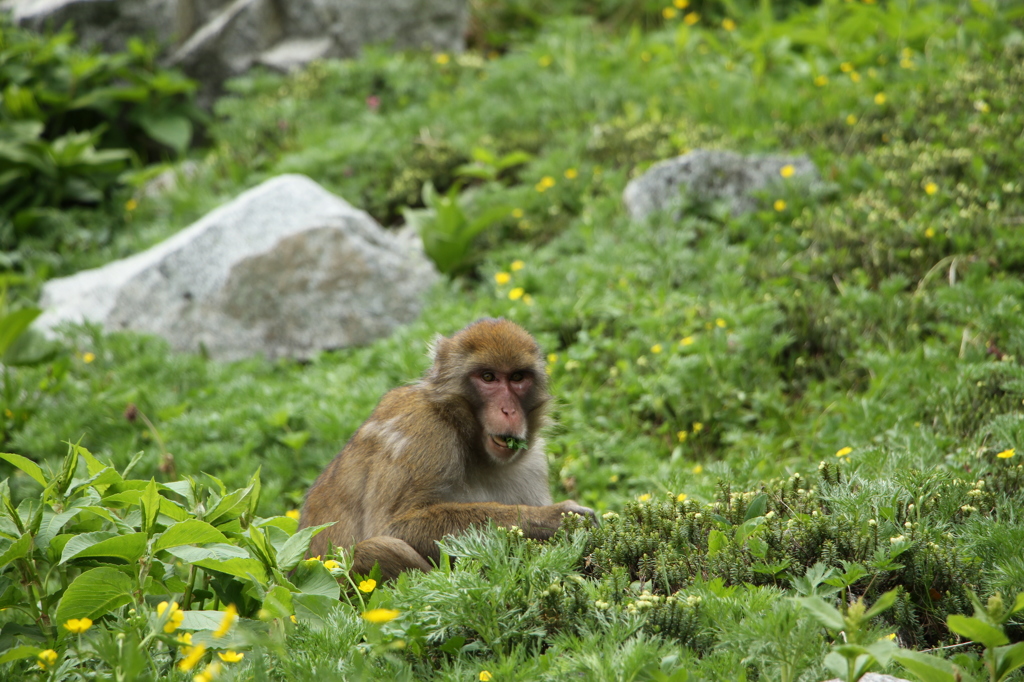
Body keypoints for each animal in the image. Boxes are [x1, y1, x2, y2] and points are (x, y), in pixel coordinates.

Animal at [299, 315, 593, 577]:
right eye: (488, 377)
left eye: (517, 377)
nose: (508, 410)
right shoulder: (423, 434)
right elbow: (395, 527)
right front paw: (554, 518)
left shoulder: (533, 460)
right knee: (376, 549)